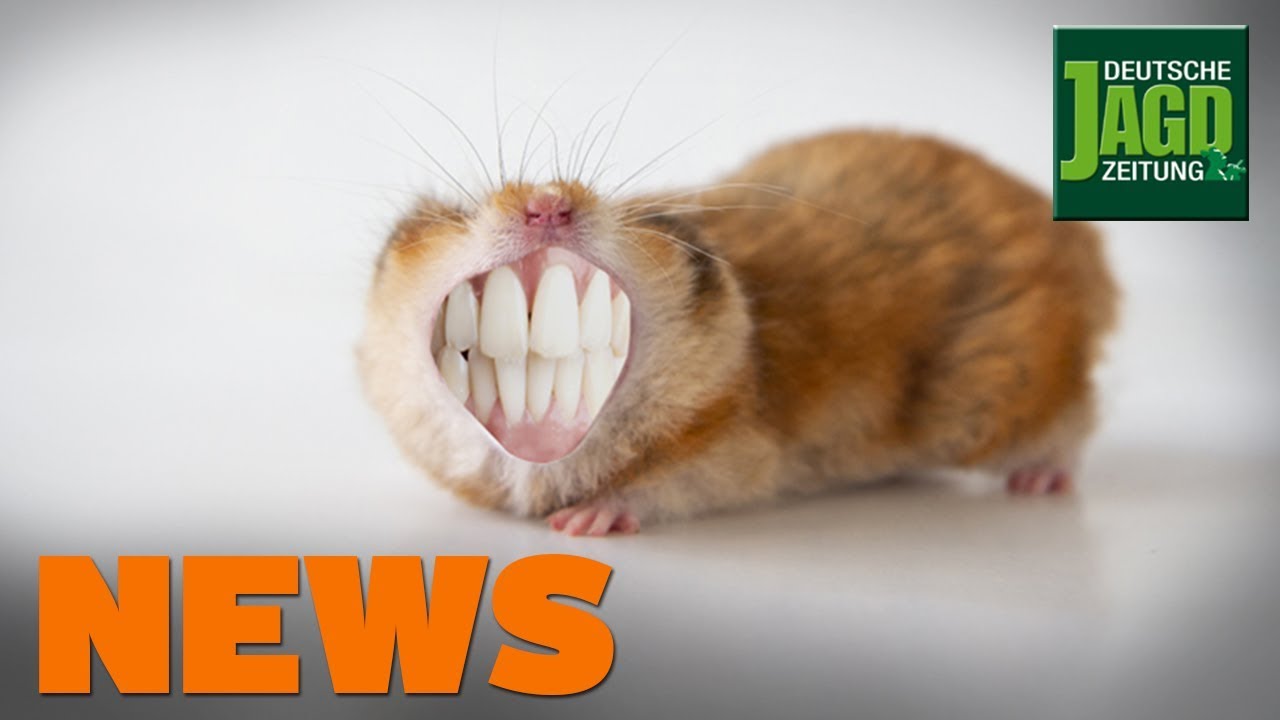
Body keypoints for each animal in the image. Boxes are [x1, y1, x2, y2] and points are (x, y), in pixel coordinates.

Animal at [358, 129, 1118, 536]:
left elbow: (662, 483)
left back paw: (1039, 482)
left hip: (1005, 402)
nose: (548, 205)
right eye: (454, 215)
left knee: (1071, 425)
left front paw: (582, 523)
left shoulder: (740, 452)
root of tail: (1076, 241)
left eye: (652, 222)